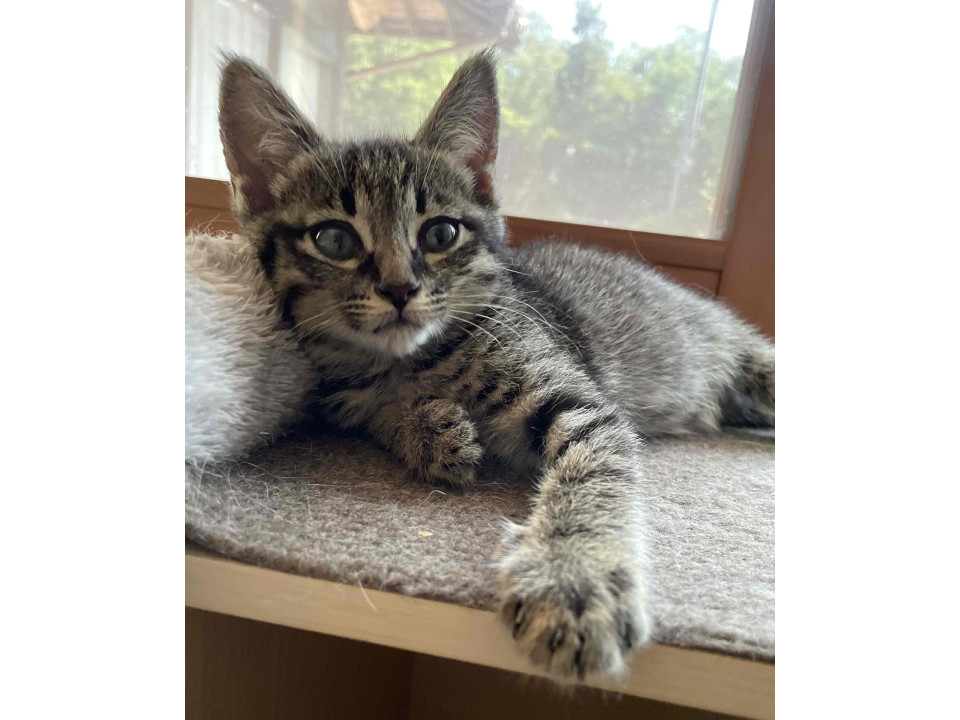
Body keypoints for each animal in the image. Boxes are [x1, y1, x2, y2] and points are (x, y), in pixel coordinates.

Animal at [217, 49, 774, 680]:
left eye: (440, 233)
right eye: (334, 239)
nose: (400, 288)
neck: (409, 363)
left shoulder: (578, 400)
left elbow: (592, 474)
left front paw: (573, 576)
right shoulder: (340, 395)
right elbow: (371, 414)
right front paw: (428, 430)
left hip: (743, 354)